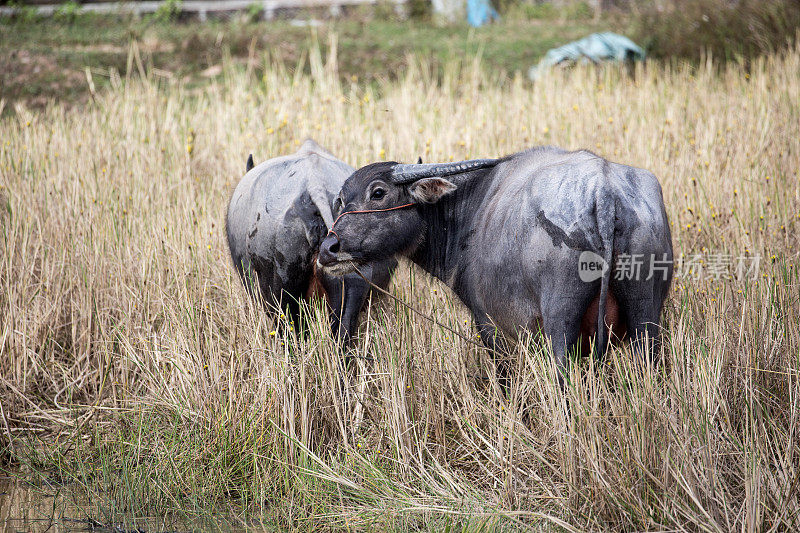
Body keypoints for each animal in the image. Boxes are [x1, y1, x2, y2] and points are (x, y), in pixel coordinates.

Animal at [318, 147, 676, 382]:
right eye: (341, 199)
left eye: (378, 192)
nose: (328, 248)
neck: (471, 208)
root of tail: (604, 190)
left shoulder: (489, 325)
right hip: (645, 312)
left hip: (561, 319)